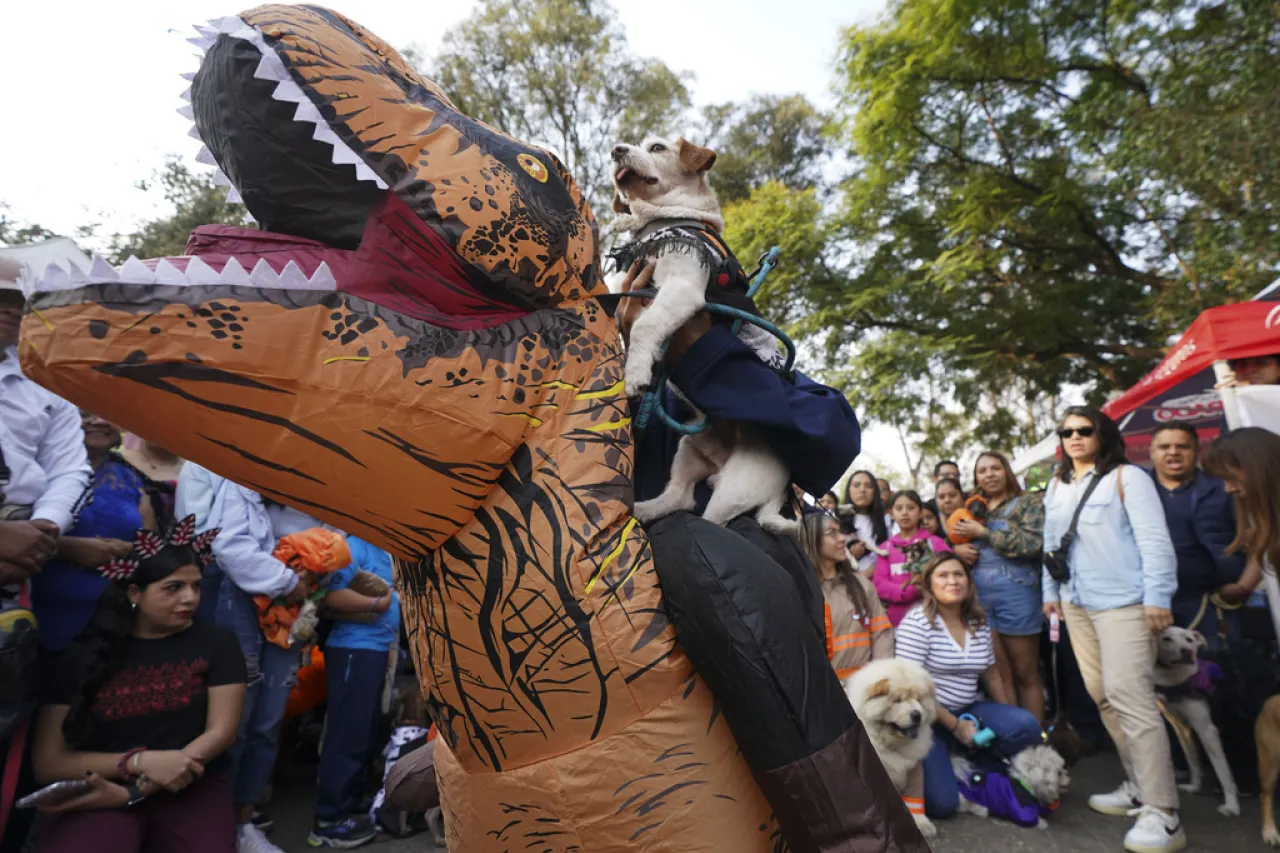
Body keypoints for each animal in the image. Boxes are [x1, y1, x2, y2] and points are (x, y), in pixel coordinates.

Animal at [611, 134, 798, 532]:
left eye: (657, 147)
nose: (617, 150)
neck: (660, 224)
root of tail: (783, 490)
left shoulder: (682, 287)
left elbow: (645, 326)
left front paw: (635, 372)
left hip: (737, 486)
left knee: (712, 519)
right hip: (689, 449)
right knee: (679, 497)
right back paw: (642, 510)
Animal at [844, 653, 936, 835]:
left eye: (918, 699)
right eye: (898, 700)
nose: (917, 714)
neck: (893, 745)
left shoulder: (914, 767)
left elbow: (915, 796)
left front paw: (922, 824)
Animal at [1152, 622, 1239, 814]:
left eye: (1189, 640)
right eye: (1166, 639)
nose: (1186, 651)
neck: (1176, 680)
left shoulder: (1207, 730)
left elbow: (1223, 771)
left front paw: (1232, 805)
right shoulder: (1181, 727)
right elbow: (1192, 760)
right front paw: (1194, 786)